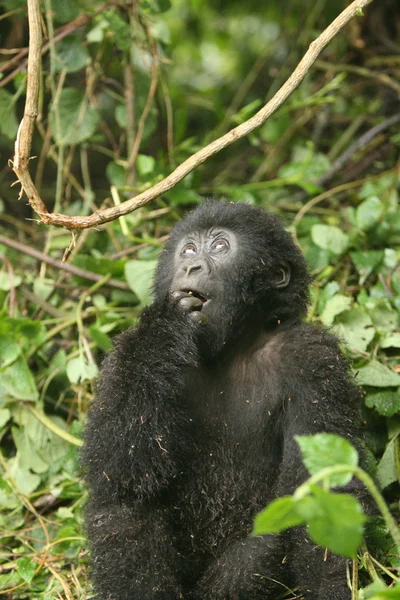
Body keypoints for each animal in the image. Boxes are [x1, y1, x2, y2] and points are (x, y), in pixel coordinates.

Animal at [83, 203, 360, 600]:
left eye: (219, 247)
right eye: (187, 250)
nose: (191, 267)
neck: (231, 348)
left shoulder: (312, 358)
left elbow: (324, 490)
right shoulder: (124, 353)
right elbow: (115, 463)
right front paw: (164, 326)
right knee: (124, 501)